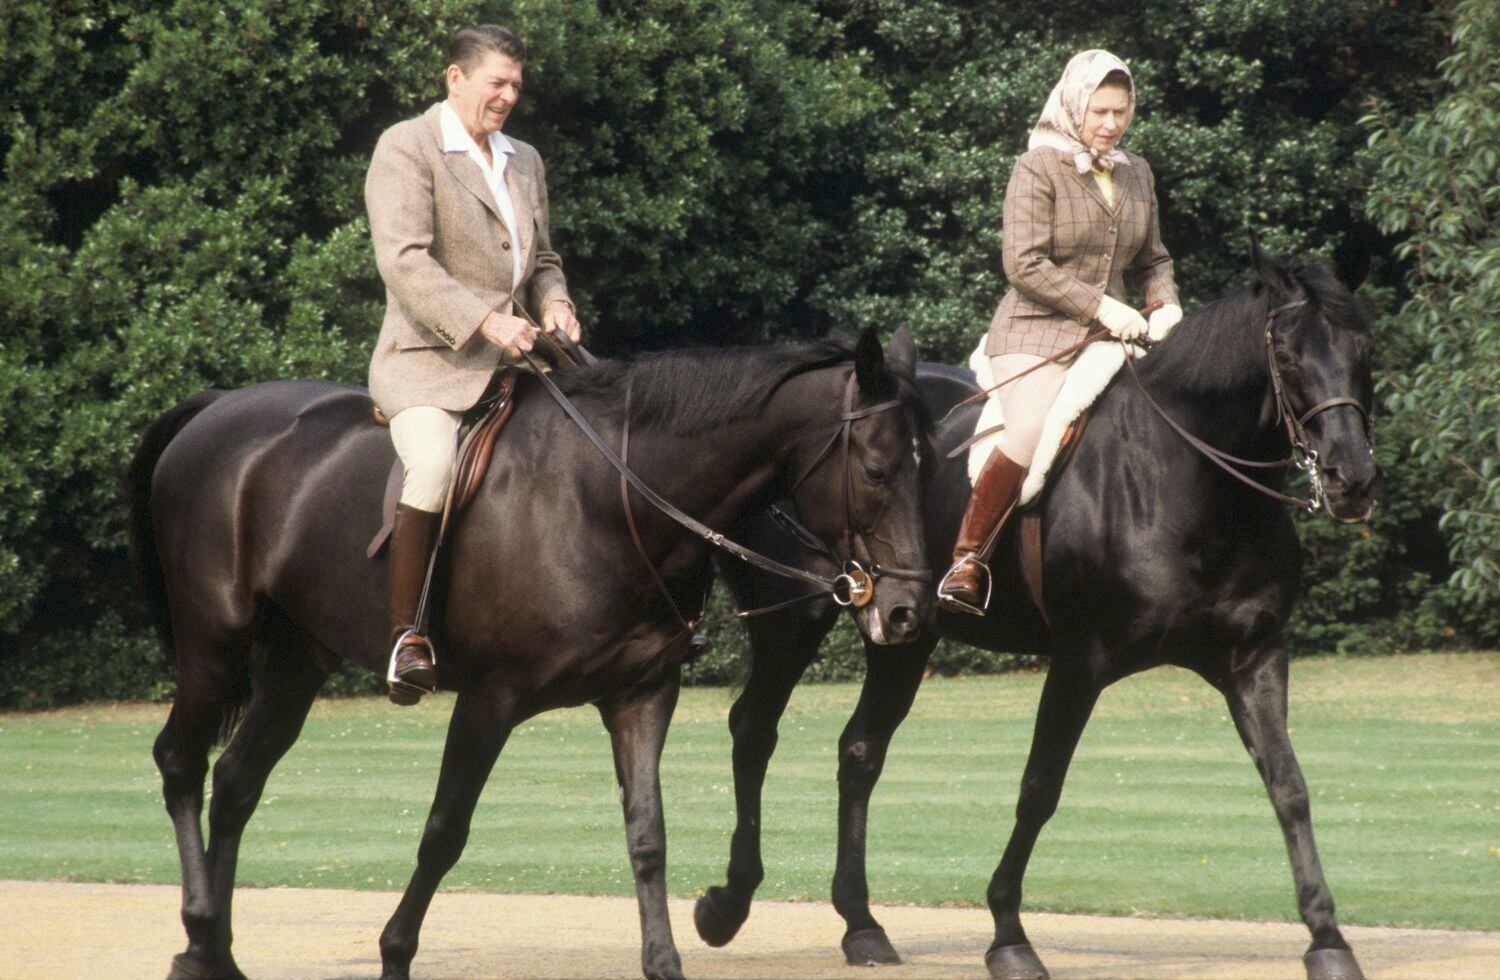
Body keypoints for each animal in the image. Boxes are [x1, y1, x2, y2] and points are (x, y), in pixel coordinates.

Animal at [138, 330, 936, 978]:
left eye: (925, 471)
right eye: (876, 471)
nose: (907, 610)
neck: (607, 499)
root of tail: (218, 408)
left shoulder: (642, 696)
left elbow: (648, 834)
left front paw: (664, 959)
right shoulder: (489, 701)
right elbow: (444, 832)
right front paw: (395, 952)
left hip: (295, 662)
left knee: (236, 781)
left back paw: (212, 953)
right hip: (214, 646)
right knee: (181, 762)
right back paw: (198, 931)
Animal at [696, 238, 1374, 978]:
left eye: (1364, 351)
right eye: (1288, 357)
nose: (1353, 479)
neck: (1182, 479)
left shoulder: (1254, 659)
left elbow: (1289, 786)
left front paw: (1327, 938)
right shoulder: (1080, 662)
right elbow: (1039, 788)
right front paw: (1008, 935)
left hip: (903, 631)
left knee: (860, 750)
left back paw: (862, 925)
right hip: (794, 619)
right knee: (753, 729)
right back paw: (727, 904)